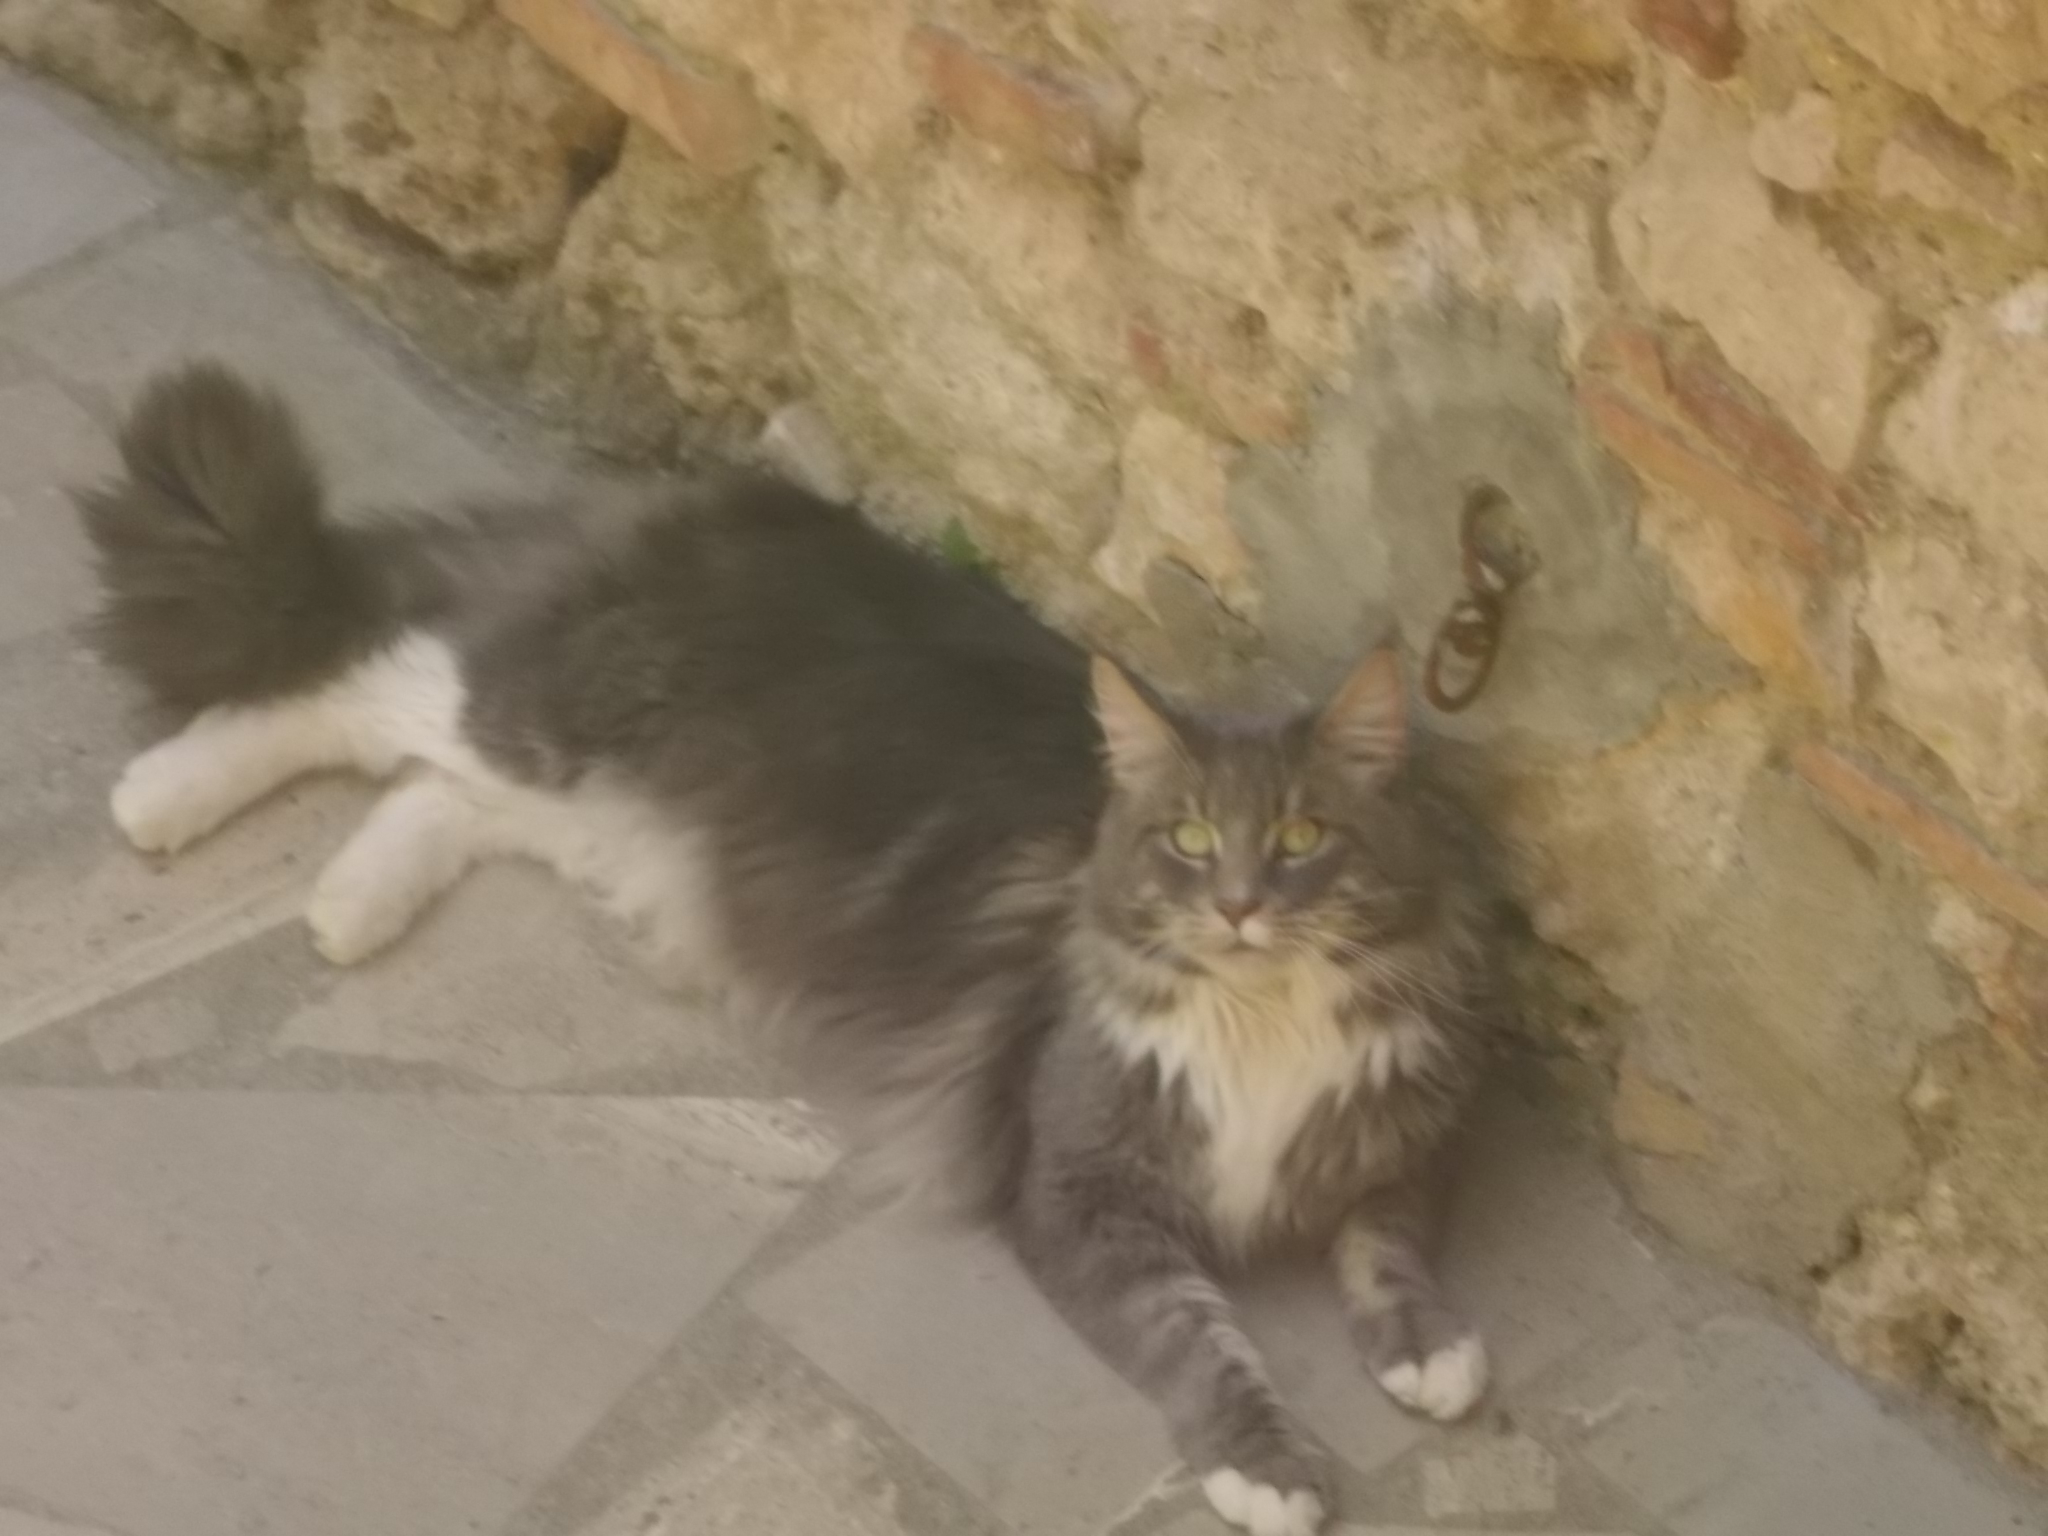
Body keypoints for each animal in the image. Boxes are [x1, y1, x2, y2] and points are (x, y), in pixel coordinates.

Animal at [81, 362, 1506, 1536]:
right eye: (1191, 841)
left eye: (1305, 836)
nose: (1242, 907)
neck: (1259, 1018)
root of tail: (708, 504)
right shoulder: (1078, 1192)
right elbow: (1200, 1344)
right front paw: (1268, 1472)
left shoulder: (1403, 1150)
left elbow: (1388, 1250)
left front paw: (1429, 1352)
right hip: (544, 722)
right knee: (361, 682)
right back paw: (162, 797)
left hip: (591, 810)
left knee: (432, 791)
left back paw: (347, 908)